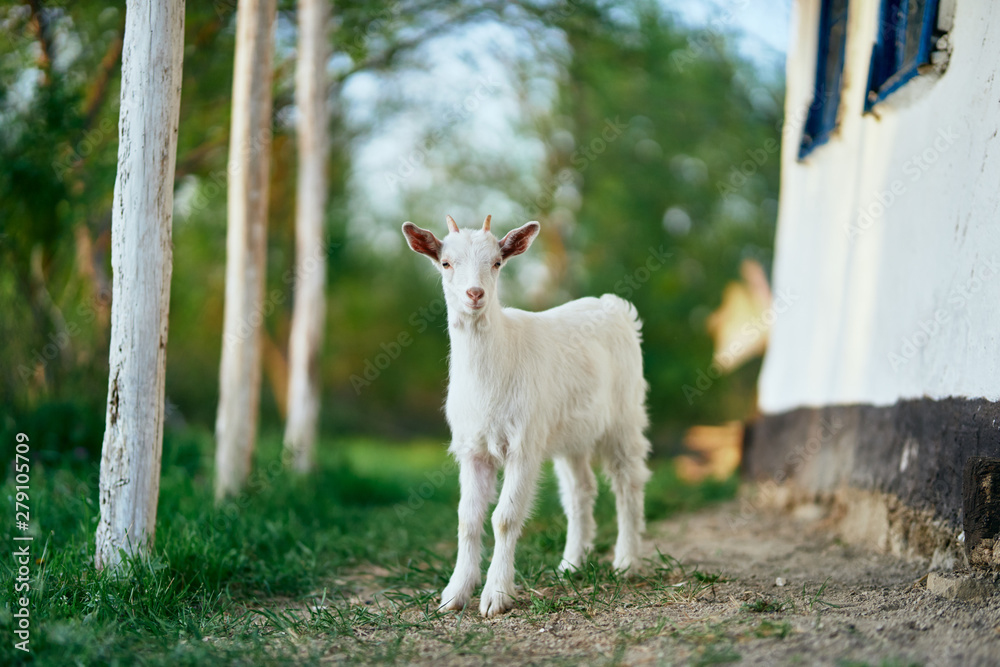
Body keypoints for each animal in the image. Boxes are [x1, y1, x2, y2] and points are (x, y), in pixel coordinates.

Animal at [401, 214, 651, 618]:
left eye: (496, 263)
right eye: (446, 263)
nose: (475, 294)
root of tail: (614, 306)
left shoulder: (524, 444)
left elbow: (504, 518)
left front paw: (496, 595)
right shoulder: (473, 448)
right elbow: (467, 518)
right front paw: (454, 594)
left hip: (624, 418)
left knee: (628, 482)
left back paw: (627, 563)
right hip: (569, 434)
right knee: (581, 489)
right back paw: (571, 565)